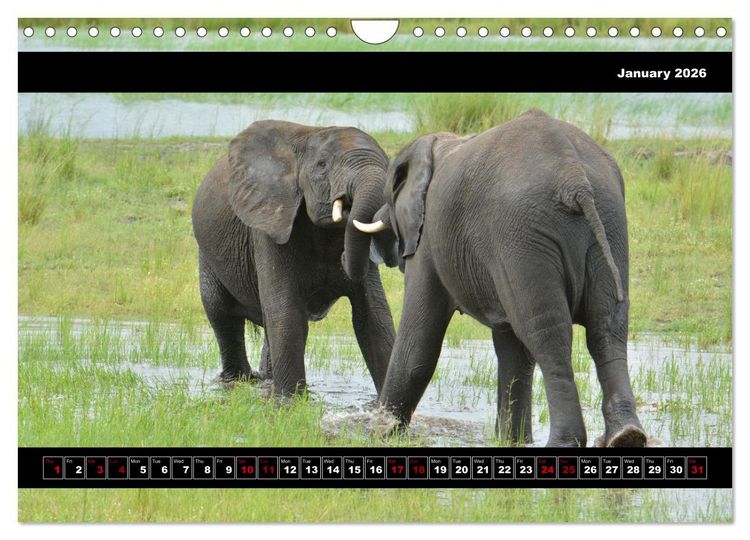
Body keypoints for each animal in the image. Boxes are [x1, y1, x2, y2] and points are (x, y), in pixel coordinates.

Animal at [192, 120, 397, 396]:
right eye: (322, 165)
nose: (343, 258)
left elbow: (374, 318)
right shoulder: (269, 224)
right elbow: (287, 314)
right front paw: (291, 401)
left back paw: (267, 381)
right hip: (207, 254)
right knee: (222, 313)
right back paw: (237, 380)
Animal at [355, 109, 647, 447]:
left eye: (390, 191)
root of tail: (574, 179)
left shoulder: (429, 240)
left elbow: (419, 341)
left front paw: (378, 432)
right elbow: (512, 351)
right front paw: (512, 441)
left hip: (522, 233)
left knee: (547, 334)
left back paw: (564, 443)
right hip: (608, 221)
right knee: (606, 327)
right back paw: (627, 436)